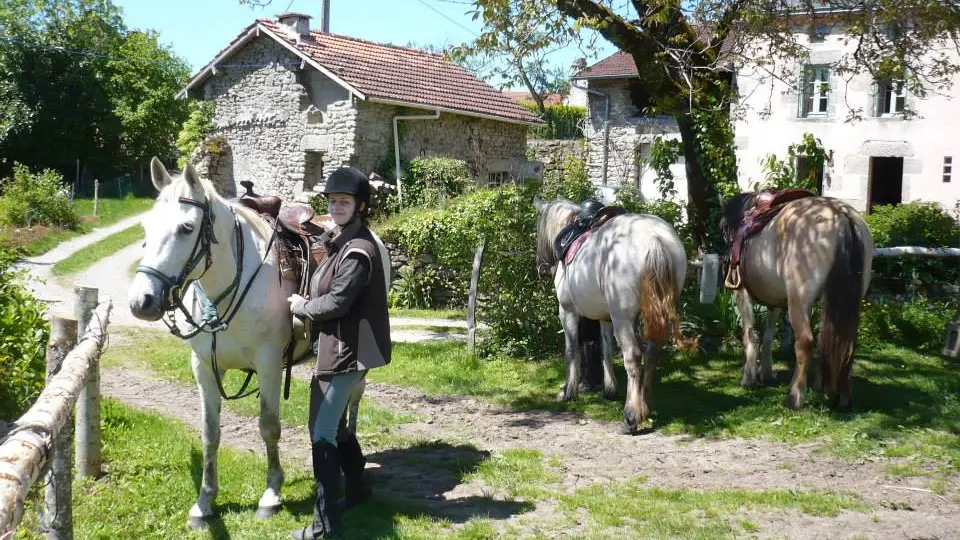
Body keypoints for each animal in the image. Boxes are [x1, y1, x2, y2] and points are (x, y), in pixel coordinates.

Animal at [128, 158, 390, 528]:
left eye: (186, 228)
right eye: (146, 227)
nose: (142, 301)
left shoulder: (268, 365)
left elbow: (269, 427)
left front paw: (271, 494)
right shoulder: (203, 367)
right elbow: (210, 433)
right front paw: (204, 502)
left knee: (353, 395)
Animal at [536, 198, 688, 434]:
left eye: (538, 231)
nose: (540, 265)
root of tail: (654, 237)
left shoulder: (567, 311)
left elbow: (571, 351)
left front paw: (568, 392)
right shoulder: (604, 317)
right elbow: (605, 349)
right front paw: (609, 389)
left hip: (622, 318)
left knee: (633, 356)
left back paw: (631, 417)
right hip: (653, 313)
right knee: (651, 353)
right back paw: (646, 405)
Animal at [724, 194, 872, 410]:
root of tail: (840, 215)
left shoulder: (741, 292)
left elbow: (750, 334)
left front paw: (749, 378)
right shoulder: (775, 300)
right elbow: (768, 336)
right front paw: (766, 373)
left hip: (799, 300)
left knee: (805, 341)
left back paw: (794, 397)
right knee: (845, 339)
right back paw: (842, 396)